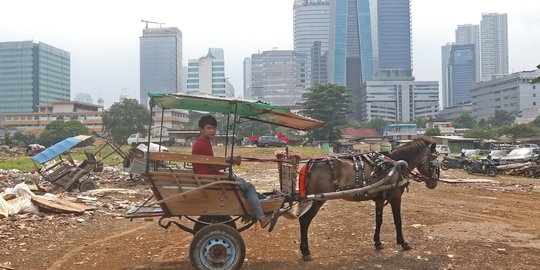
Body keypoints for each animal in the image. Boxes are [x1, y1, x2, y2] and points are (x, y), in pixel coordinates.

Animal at [298, 138, 440, 260]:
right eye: (434, 162)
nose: (434, 183)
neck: (395, 166)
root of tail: (311, 164)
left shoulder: (379, 200)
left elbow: (379, 221)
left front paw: (378, 242)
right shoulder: (395, 197)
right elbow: (398, 220)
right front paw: (403, 242)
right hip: (317, 201)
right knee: (304, 220)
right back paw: (306, 251)